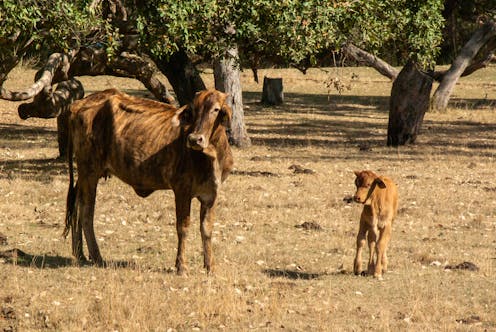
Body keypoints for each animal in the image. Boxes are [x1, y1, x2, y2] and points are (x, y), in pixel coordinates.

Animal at [62, 88, 232, 274]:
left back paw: (80, 253)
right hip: (89, 172)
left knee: (76, 206)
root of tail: (78, 103)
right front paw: (181, 266)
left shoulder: (211, 195)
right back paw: (96, 256)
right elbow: (183, 227)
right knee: (86, 212)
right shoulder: (182, 191)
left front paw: (210, 266)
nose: (194, 139)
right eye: (193, 110)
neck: (211, 156)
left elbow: (206, 229)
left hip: (86, 175)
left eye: (216, 109)